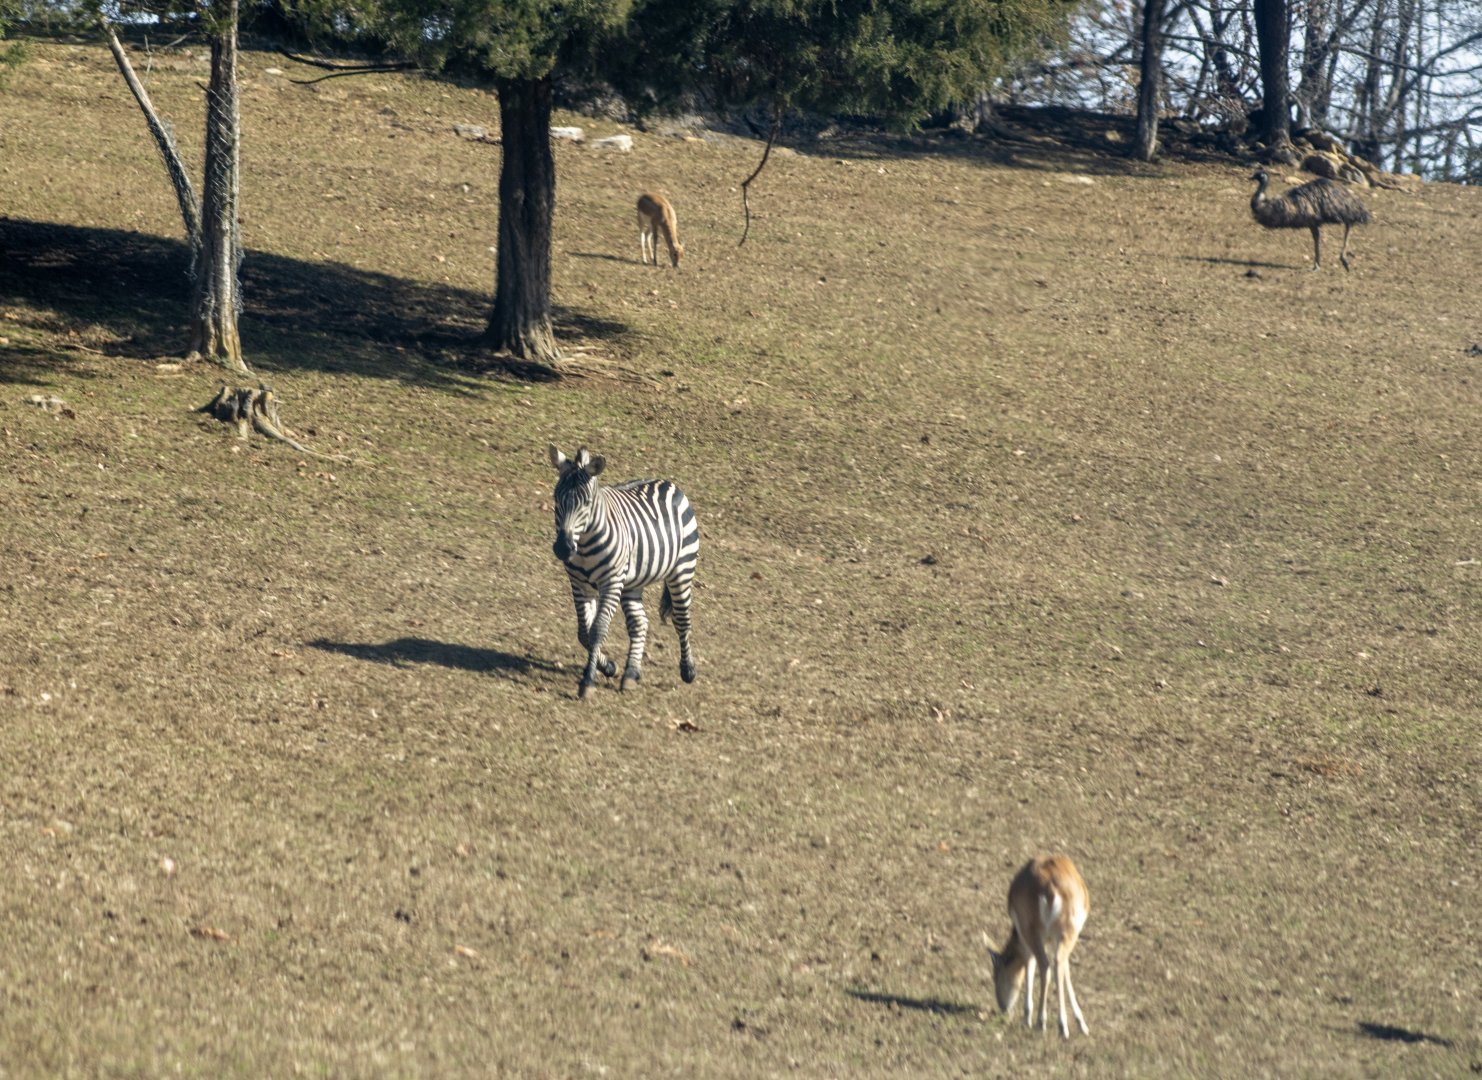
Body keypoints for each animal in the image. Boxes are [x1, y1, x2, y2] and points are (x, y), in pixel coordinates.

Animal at [547, 445, 699, 699]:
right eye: (556, 498)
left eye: (587, 502)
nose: (563, 548)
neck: (584, 544)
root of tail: (667, 482)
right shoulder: (579, 584)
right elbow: (584, 632)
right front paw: (608, 666)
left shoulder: (611, 582)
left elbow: (597, 630)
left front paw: (588, 682)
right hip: (632, 583)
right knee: (639, 623)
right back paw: (630, 674)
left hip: (681, 570)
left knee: (681, 619)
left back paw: (688, 670)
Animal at [988, 854, 1090, 1038]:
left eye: (996, 974)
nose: (1003, 1007)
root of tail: (1050, 889)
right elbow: (1066, 969)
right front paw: (1081, 1023)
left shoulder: (1024, 935)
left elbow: (1030, 963)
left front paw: (1027, 1017)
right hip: (1066, 932)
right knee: (1056, 963)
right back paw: (1060, 1026)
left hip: (1033, 930)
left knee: (1045, 963)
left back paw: (1042, 1022)